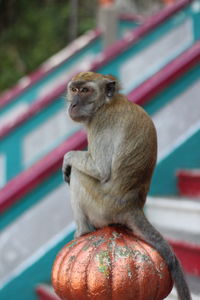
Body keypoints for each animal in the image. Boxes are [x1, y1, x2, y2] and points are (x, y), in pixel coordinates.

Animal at [62, 71, 191, 298]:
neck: (106, 104)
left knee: (79, 175)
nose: (74, 104)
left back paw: (83, 231)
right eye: (74, 89)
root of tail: (132, 207)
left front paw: (67, 157)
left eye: (85, 90)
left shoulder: (100, 123)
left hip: (103, 207)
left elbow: (100, 169)